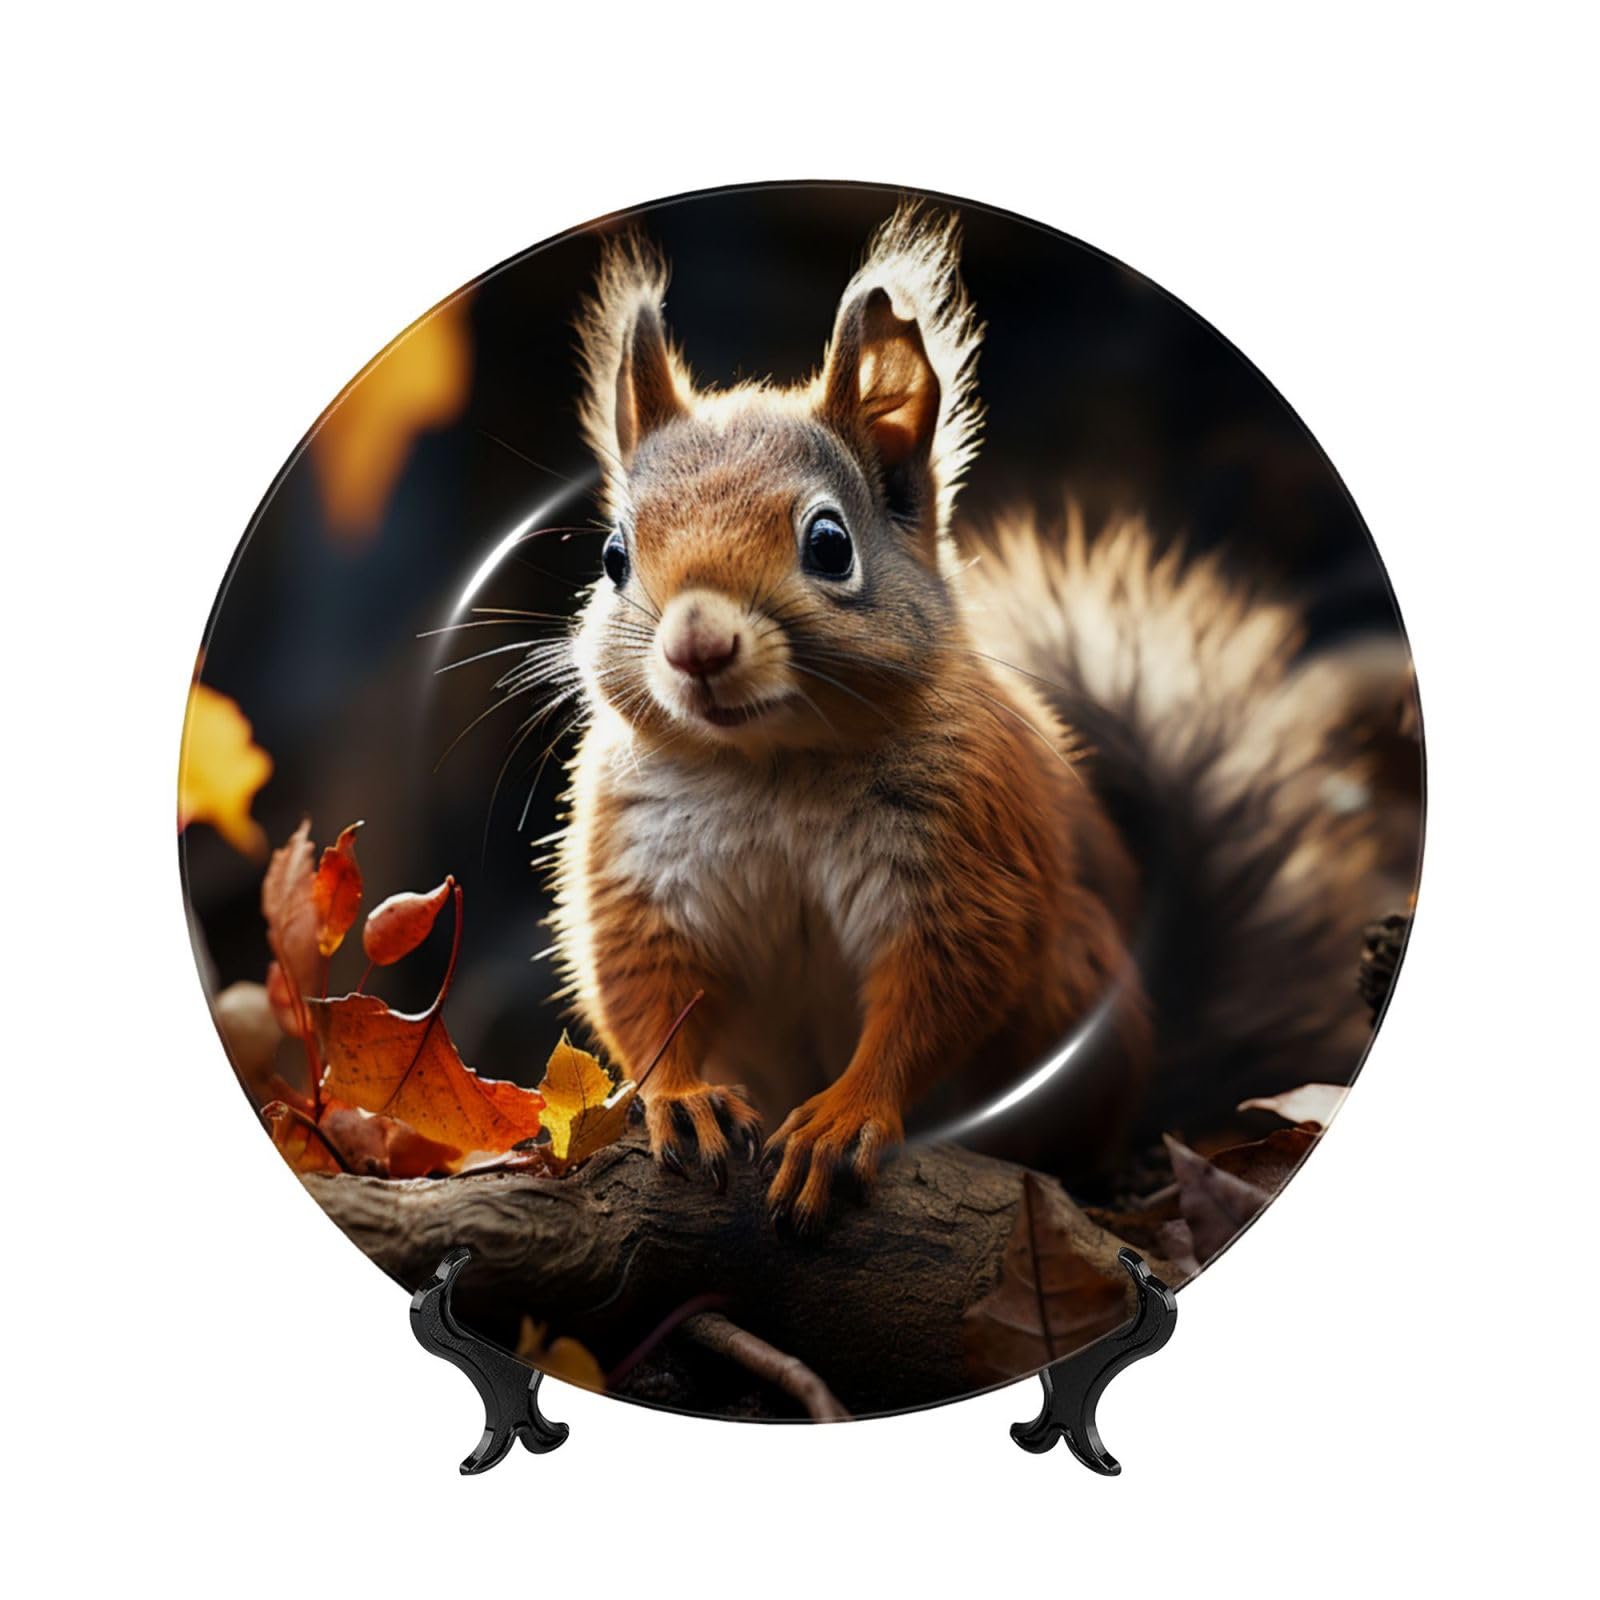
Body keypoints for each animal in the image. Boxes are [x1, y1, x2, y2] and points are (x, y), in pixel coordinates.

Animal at [549, 205, 1409, 1233]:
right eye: (613, 557)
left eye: (830, 544)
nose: (696, 647)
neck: (773, 764)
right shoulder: (640, 862)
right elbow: (643, 984)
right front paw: (683, 1098)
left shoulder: (966, 850)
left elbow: (939, 991)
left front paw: (843, 1117)